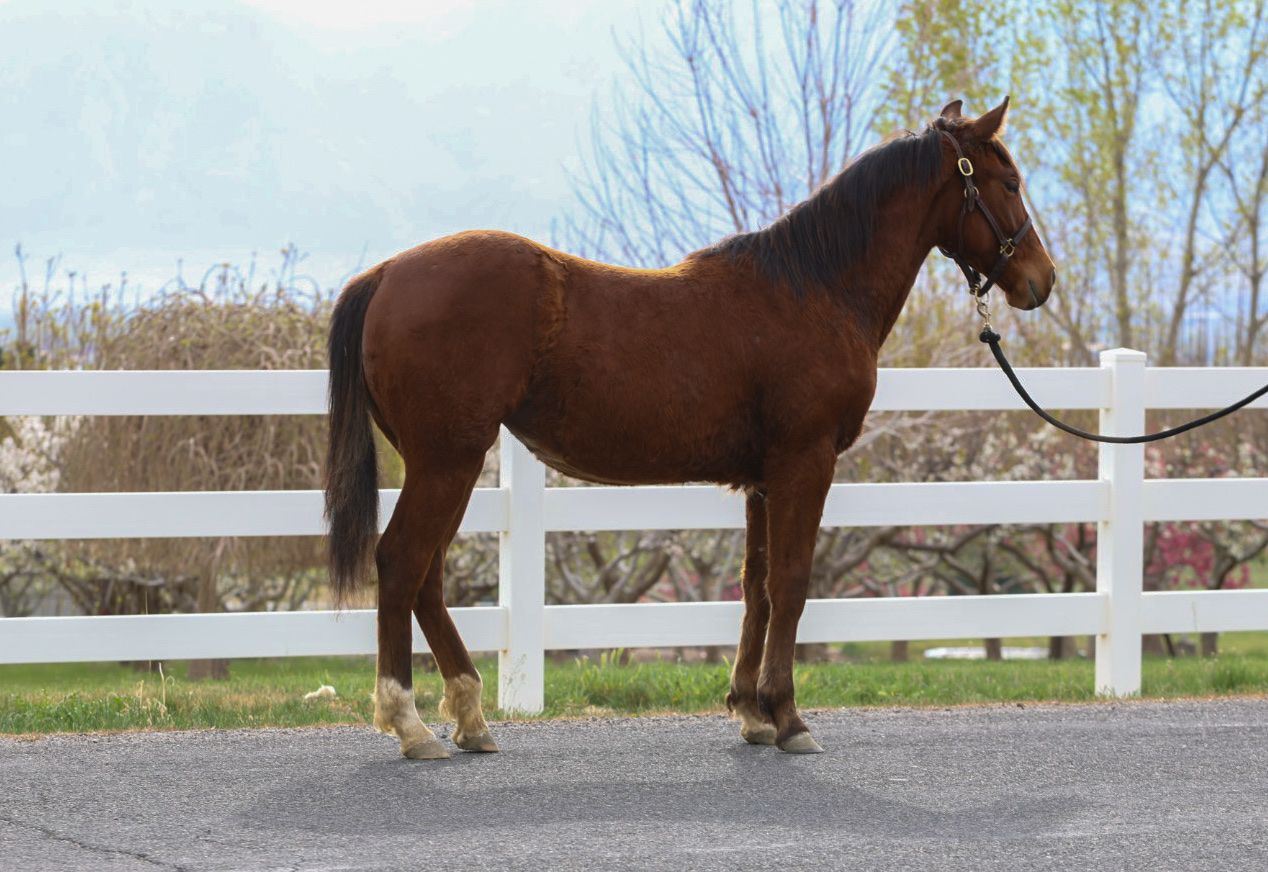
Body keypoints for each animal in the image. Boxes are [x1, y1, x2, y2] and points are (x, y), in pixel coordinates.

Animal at [323, 97, 1055, 759]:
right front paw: (790, 719)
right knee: (401, 562)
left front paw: (753, 712)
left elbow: (757, 588)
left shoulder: (764, 478)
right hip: (448, 460)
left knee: (427, 576)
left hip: (450, 461)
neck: (814, 288)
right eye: (1009, 182)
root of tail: (384, 274)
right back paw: (411, 724)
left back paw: (470, 719)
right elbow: (791, 582)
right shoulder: (805, 461)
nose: (1041, 281)